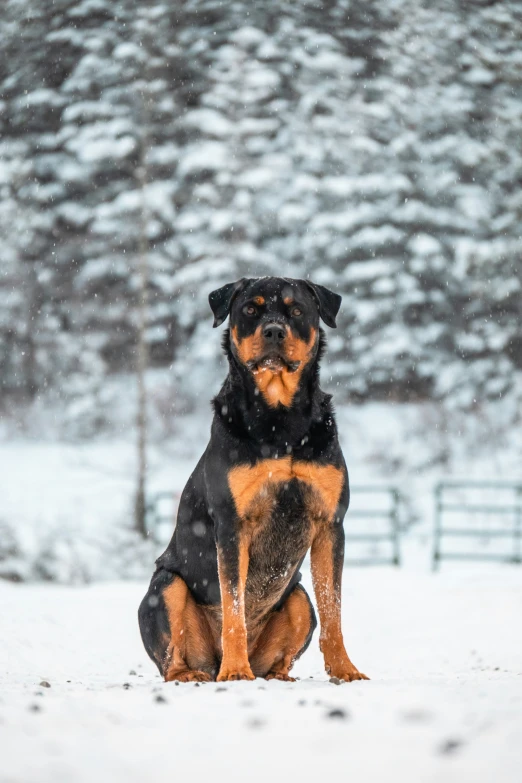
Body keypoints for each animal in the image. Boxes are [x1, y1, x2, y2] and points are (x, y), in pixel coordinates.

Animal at [138, 278, 366, 684]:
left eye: (296, 310)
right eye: (249, 309)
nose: (273, 331)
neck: (280, 422)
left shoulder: (330, 523)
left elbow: (333, 608)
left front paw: (344, 669)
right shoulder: (232, 524)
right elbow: (234, 606)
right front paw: (234, 671)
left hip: (298, 597)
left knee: (291, 638)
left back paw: (276, 675)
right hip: (164, 587)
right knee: (170, 655)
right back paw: (195, 673)